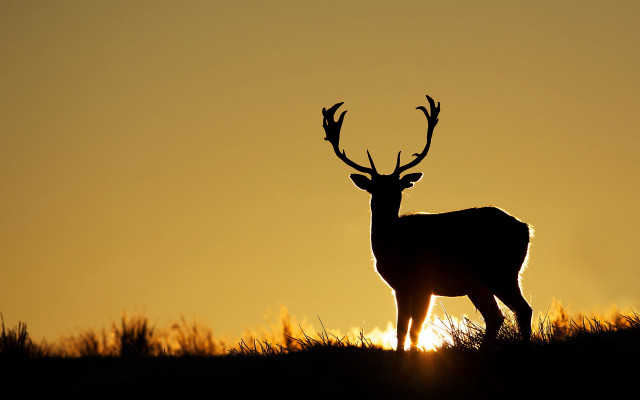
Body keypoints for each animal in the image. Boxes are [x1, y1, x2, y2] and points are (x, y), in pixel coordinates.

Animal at [322, 95, 532, 351]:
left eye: (399, 188)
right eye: (374, 188)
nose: (387, 203)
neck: (395, 249)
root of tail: (526, 228)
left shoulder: (425, 282)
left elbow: (415, 328)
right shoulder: (400, 288)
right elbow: (401, 329)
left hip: (503, 271)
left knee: (523, 309)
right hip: (479, 283)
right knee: (496, 316)